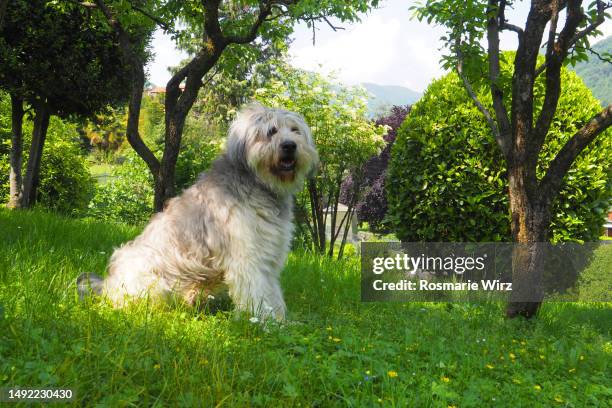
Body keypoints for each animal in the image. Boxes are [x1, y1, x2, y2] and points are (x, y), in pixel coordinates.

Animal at [77, 105, 320, 322]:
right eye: (271, 131)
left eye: (295, 130)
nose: (290, 145)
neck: (259, 184)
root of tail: (107, 288)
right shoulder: (247, 257)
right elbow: (257, 292)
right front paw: (264, 322)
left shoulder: (268, 257)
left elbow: (272, 292)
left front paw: (281, 320)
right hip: (154, 280)